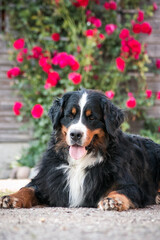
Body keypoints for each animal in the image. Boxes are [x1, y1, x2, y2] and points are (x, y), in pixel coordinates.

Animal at [0, 89, 160, 211]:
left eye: (92, 118)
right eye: (69, 115)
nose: (75, 134)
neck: (79, 162)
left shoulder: (130, 184)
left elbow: (123, 190)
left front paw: (113, 200)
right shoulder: (46, 180)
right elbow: (28, 189)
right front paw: (11, 197)